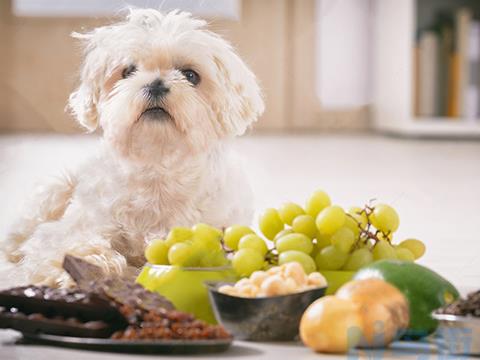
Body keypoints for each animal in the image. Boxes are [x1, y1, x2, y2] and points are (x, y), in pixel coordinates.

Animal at [0, 8, 262, 286]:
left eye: (191, 75)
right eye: (128, 71)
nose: (156, 83)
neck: (157, 164)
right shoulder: (73, 227)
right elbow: (68, 245)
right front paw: (89, 266)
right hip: (56, 188)